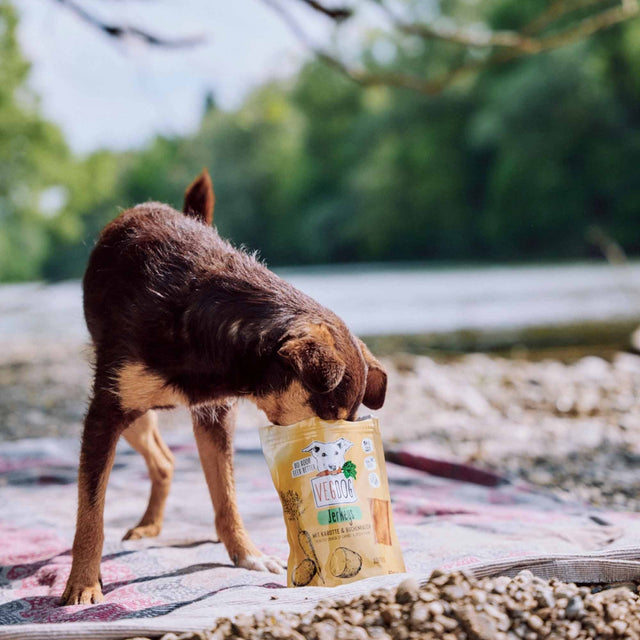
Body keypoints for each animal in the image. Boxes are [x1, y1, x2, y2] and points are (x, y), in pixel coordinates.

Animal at [62, 169, 388, 604]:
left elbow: (226, 494)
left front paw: (246, 555)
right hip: (128, 412)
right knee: (158, 460)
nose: (337, 460)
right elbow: (90, 511)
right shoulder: (103, 416)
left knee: (166, 462)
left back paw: (152, 525)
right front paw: (83, 582)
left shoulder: (216, 417)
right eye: (325, 420)